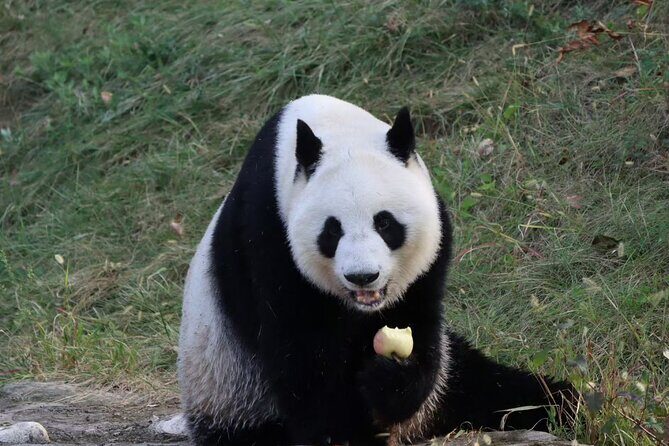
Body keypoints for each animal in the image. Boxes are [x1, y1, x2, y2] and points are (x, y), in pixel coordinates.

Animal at [177, 94, 575, 446]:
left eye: (385, 223)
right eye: (331, 230)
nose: (362, 276)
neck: (333, 127)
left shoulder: (433, 251)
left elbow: (419, 324)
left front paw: (388, 379)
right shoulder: (267, 236)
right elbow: (300, 351)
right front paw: (339, 434)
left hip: (454, 381)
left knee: (490, 387)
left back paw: (565, 405)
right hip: (228, 389)